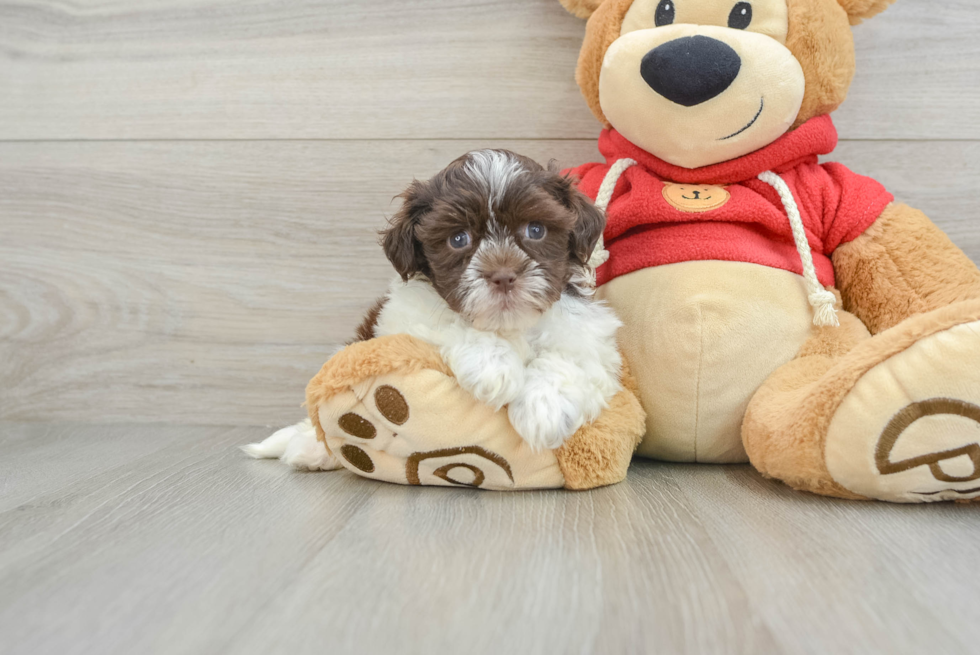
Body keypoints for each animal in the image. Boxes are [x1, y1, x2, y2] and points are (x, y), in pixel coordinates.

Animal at [249, 151, 624, 466]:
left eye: (535, 230)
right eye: (458, 239)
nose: (503, 276)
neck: (508, 325)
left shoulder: (591, 341)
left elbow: (571, 360)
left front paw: (544, 409)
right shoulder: (404, 317)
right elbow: (449, 323)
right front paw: (494, 367)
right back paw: (310, 447)